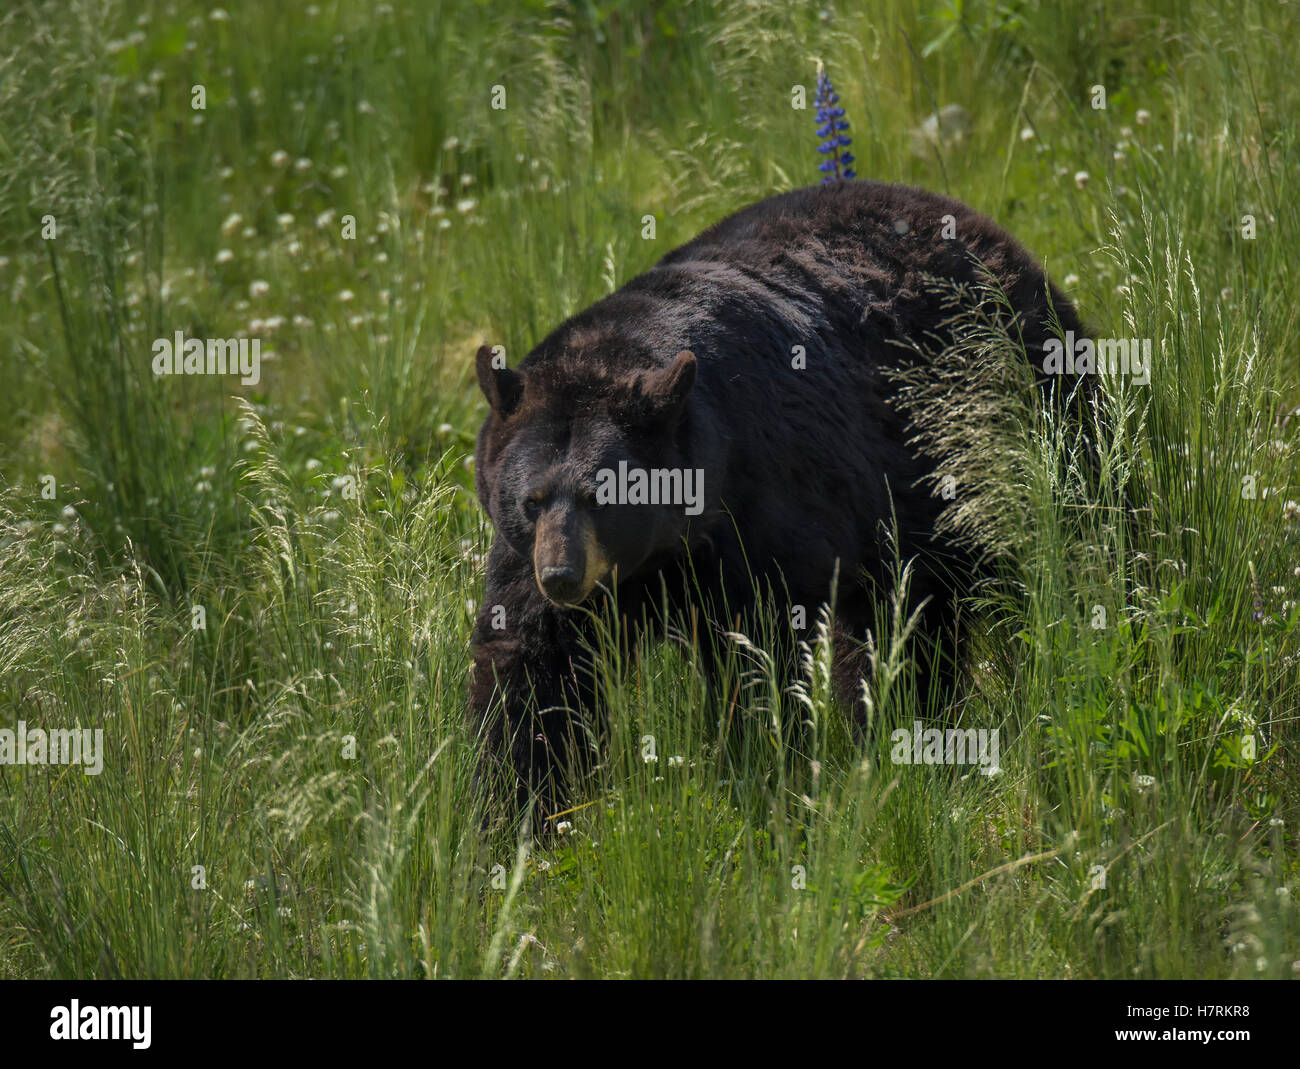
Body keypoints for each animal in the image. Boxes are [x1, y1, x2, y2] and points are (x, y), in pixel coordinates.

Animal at [468, 179, 1090, 821]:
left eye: (605, 496)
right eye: (532, 500)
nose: (562, 576)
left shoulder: (765, 505)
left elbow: (756, 654)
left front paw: (758, 774)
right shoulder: (529, 557)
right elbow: (535, 665)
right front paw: (518, 809)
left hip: (1017, 411)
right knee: (911, 621)